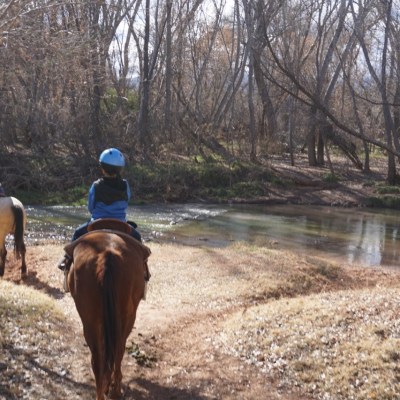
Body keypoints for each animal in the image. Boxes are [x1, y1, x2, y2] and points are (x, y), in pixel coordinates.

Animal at [65, 230, 150, 398]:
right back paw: (115, 390)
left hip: (90, 320)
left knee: (98, 360)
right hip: (126, 317)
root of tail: (107, 254)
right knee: (118, 350)